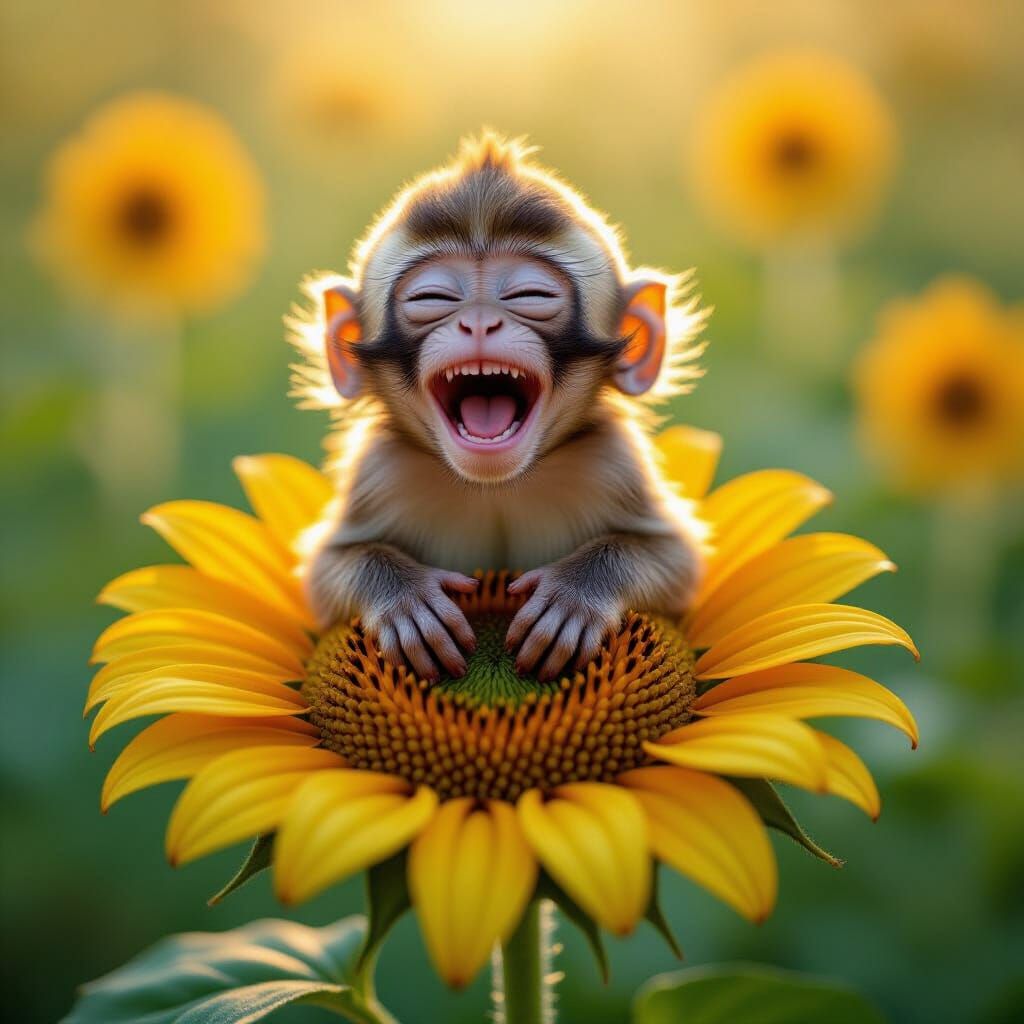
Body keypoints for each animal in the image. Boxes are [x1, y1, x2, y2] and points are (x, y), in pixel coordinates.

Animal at [288, 133, 707, 684]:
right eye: (432, 298)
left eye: (530, 294)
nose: (480, 323)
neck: (495, 487)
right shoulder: (378, 469)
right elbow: (322, 570)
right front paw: (406, 600)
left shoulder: (614, 460)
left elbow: (679, 559)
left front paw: (575, 594)